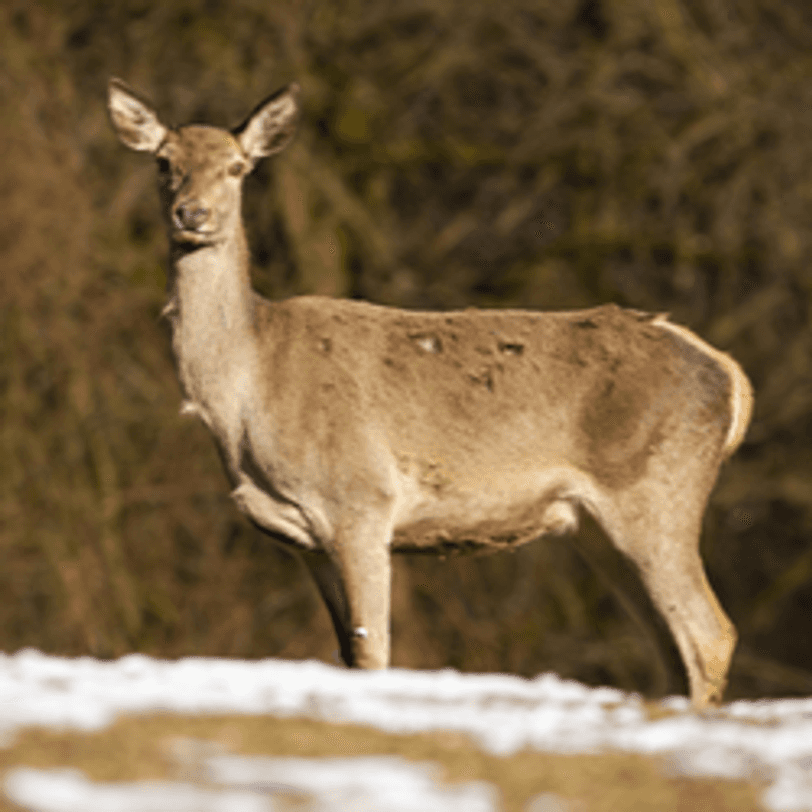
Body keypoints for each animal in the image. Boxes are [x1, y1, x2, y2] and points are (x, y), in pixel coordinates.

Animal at [108, 79, 756, 708]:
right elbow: (347, 655)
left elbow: (372, 652)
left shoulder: (361, 500)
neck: (245, 398)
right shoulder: (302, 541)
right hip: (601, 527)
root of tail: (730, 378)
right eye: (164, 163)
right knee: (672, 643)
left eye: (238, 167)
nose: (192, 213)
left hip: (656, 491)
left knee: (710, 633)